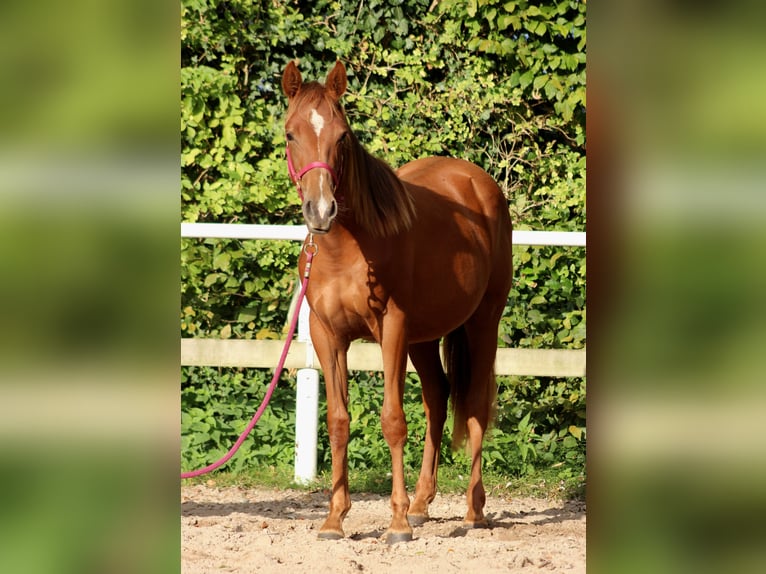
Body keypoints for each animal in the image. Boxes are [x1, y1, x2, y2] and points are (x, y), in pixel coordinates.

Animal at [284, 62, 516, 544]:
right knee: (438, 397)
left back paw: (473, 511)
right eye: (291, 134)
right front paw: (335, 519)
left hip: (482, 321)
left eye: (342, 136)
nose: (321, 210)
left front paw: (396, 523)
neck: (349, 249)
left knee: (474, 405)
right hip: (424, 338)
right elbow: (337, 422)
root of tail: (477, 181)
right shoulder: (327, 335)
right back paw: (423, 504)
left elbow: (392, 420)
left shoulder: (391, 328)